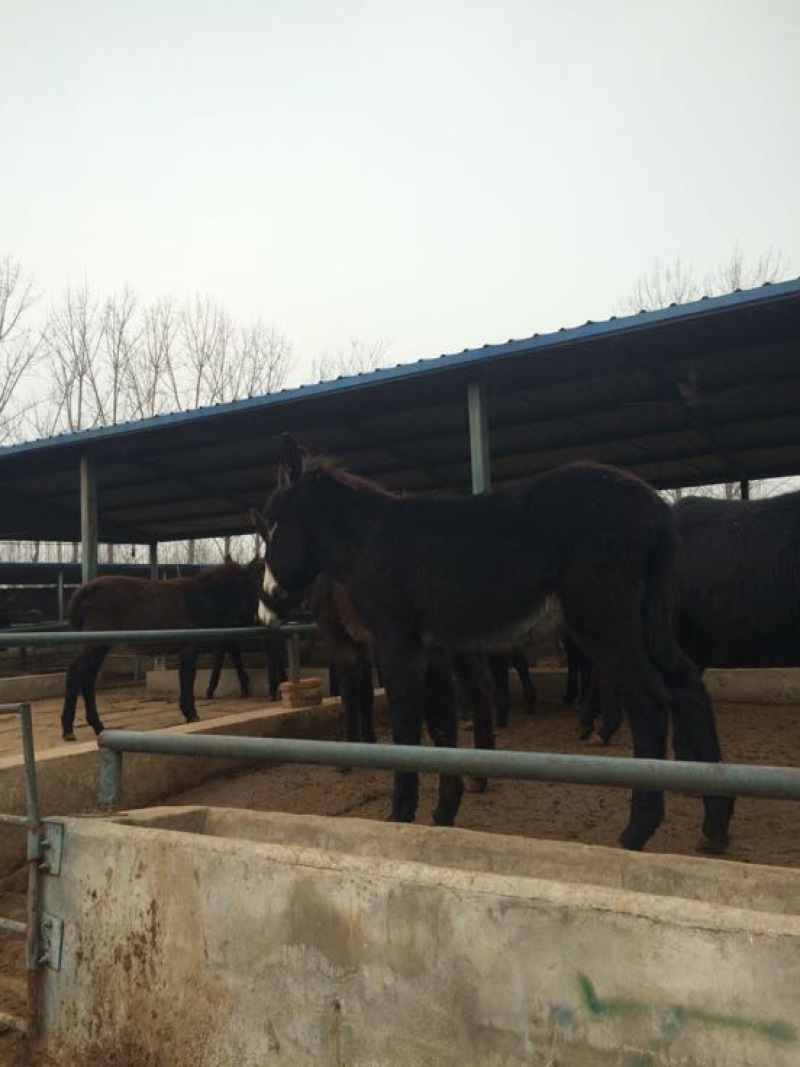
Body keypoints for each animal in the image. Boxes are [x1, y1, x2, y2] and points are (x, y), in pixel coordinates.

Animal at [253, 428, 738, 853]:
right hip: (647, 616)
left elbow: (408, 722)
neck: (366, 542)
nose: (265, 609)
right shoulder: (433, 648)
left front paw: (400, 816)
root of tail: (655, 506)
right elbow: (441, 724)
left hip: (603, 617)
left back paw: (637, 832)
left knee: (649, 699)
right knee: (687, 685)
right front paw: (443, 812)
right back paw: (715, 825)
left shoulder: (396, 642)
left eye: (273, 525)